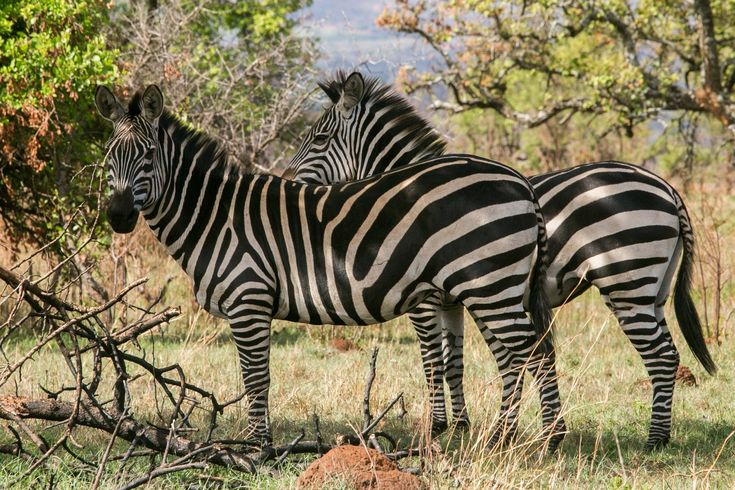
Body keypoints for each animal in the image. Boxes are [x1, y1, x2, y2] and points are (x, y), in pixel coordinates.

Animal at [94, 84, 566, 449]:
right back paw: (512, 437)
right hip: (491, 288)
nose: (118, 216)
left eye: (148, 156)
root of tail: (518, 180)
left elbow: (256, 378)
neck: (217, 217)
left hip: (490, 284)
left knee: (533, 351)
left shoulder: (249, 300)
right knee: (521, 353)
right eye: (109, 156)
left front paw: (256, 448)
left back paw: (540, 440)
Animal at [284, 71, 717, 449]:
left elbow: (432, 360)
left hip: (625, 281)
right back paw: (658, 434)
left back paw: (653, 439)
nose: (288, 181)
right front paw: (459, 424)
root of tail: (665, 187)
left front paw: (436, 426)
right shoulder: (451, 300)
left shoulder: (425, 299)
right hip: (652, 289)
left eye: (318, 138)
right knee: (668, 352)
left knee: (659, 355)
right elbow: (454, 361)